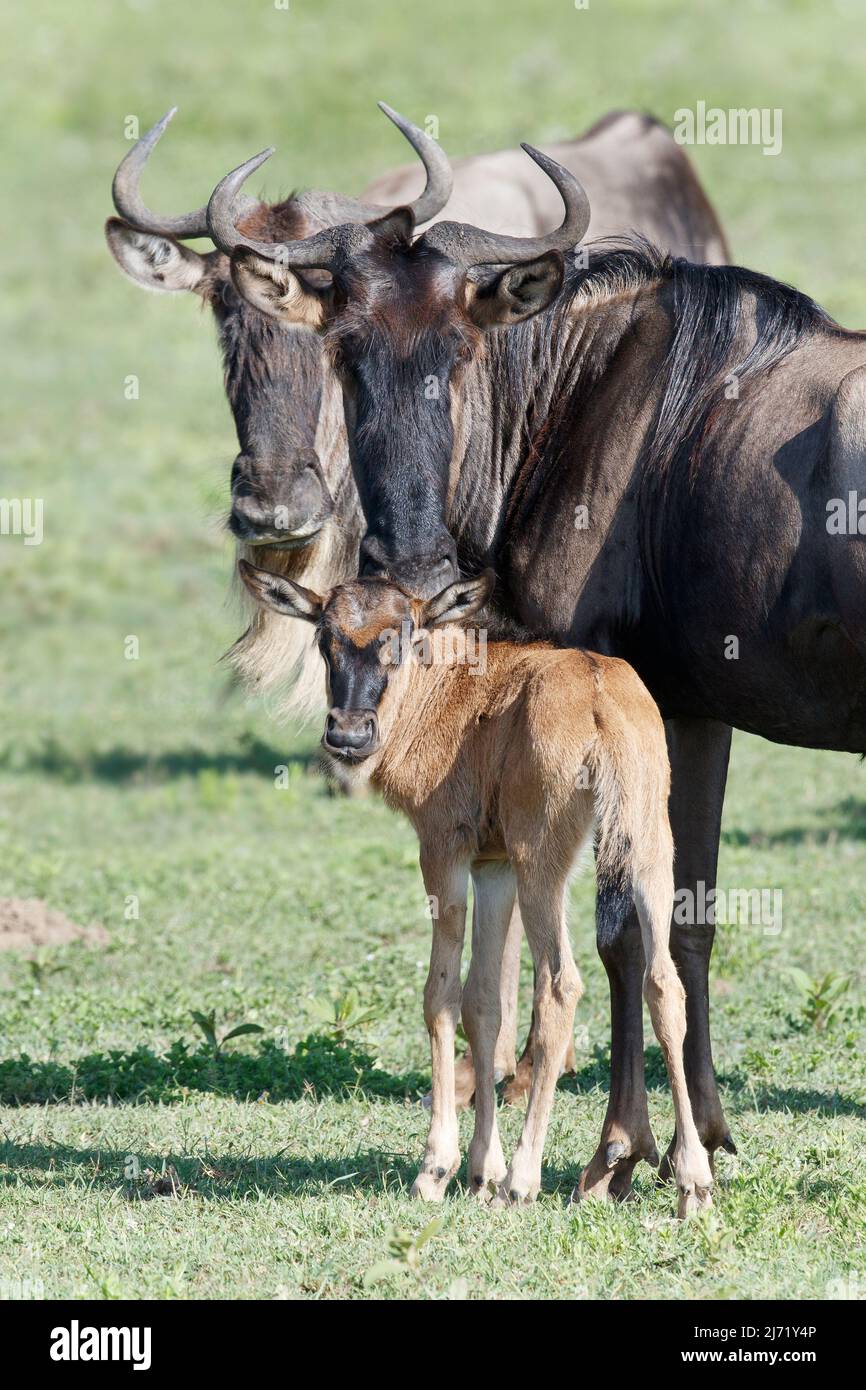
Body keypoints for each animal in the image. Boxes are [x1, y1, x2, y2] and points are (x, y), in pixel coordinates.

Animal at [238, 557, 714, 1216]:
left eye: (405, 635)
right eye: (324, 638)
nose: (349, 735)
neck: (453, 691)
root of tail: (600, 695)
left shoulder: (446, 852)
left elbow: (440, 995)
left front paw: (438, 1169)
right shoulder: (495, 868)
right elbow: (483, 1001)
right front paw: (480, 1170)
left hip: (546, 863)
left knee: (561, 985)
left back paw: (524, 1180)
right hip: (645, 848)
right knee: (664, 982)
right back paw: (693, 1180)